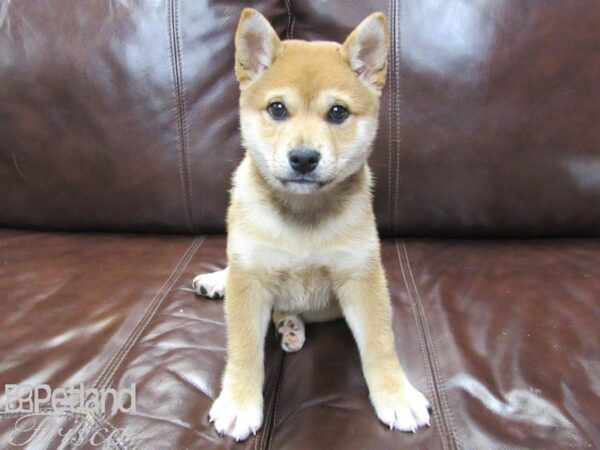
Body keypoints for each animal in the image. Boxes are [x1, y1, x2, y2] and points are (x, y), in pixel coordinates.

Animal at [193, 8, 432, 442]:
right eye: (277, 109)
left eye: (337, 112)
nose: (303, 158)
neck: (303, 216)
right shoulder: (251, 278)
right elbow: (244, 348)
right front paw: (238, 403)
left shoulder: (360, 276)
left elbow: (380, 343)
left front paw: (396, 394)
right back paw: (220, 282)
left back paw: (290, 326)